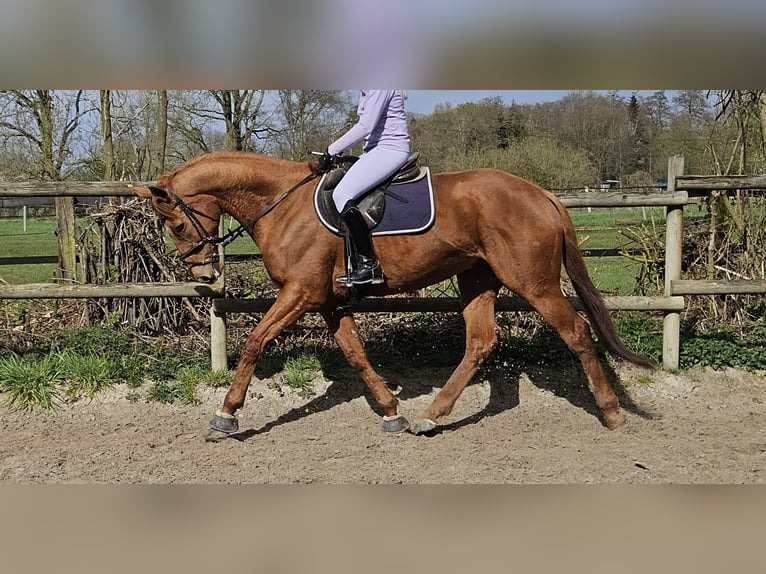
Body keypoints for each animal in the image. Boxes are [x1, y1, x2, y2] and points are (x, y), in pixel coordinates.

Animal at [133, 150, 653, 441]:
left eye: (176, 225)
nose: (205, 273)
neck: (283, 205)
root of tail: (540, 192)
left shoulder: (301, 293)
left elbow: (255, 343)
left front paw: (225, 416)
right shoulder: (327, 301)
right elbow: (357, 355)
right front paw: (391, 412)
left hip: (534, 283)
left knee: (577, 331)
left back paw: (611, 413)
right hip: (478, 279)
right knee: (481, 342)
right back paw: (431, 416)